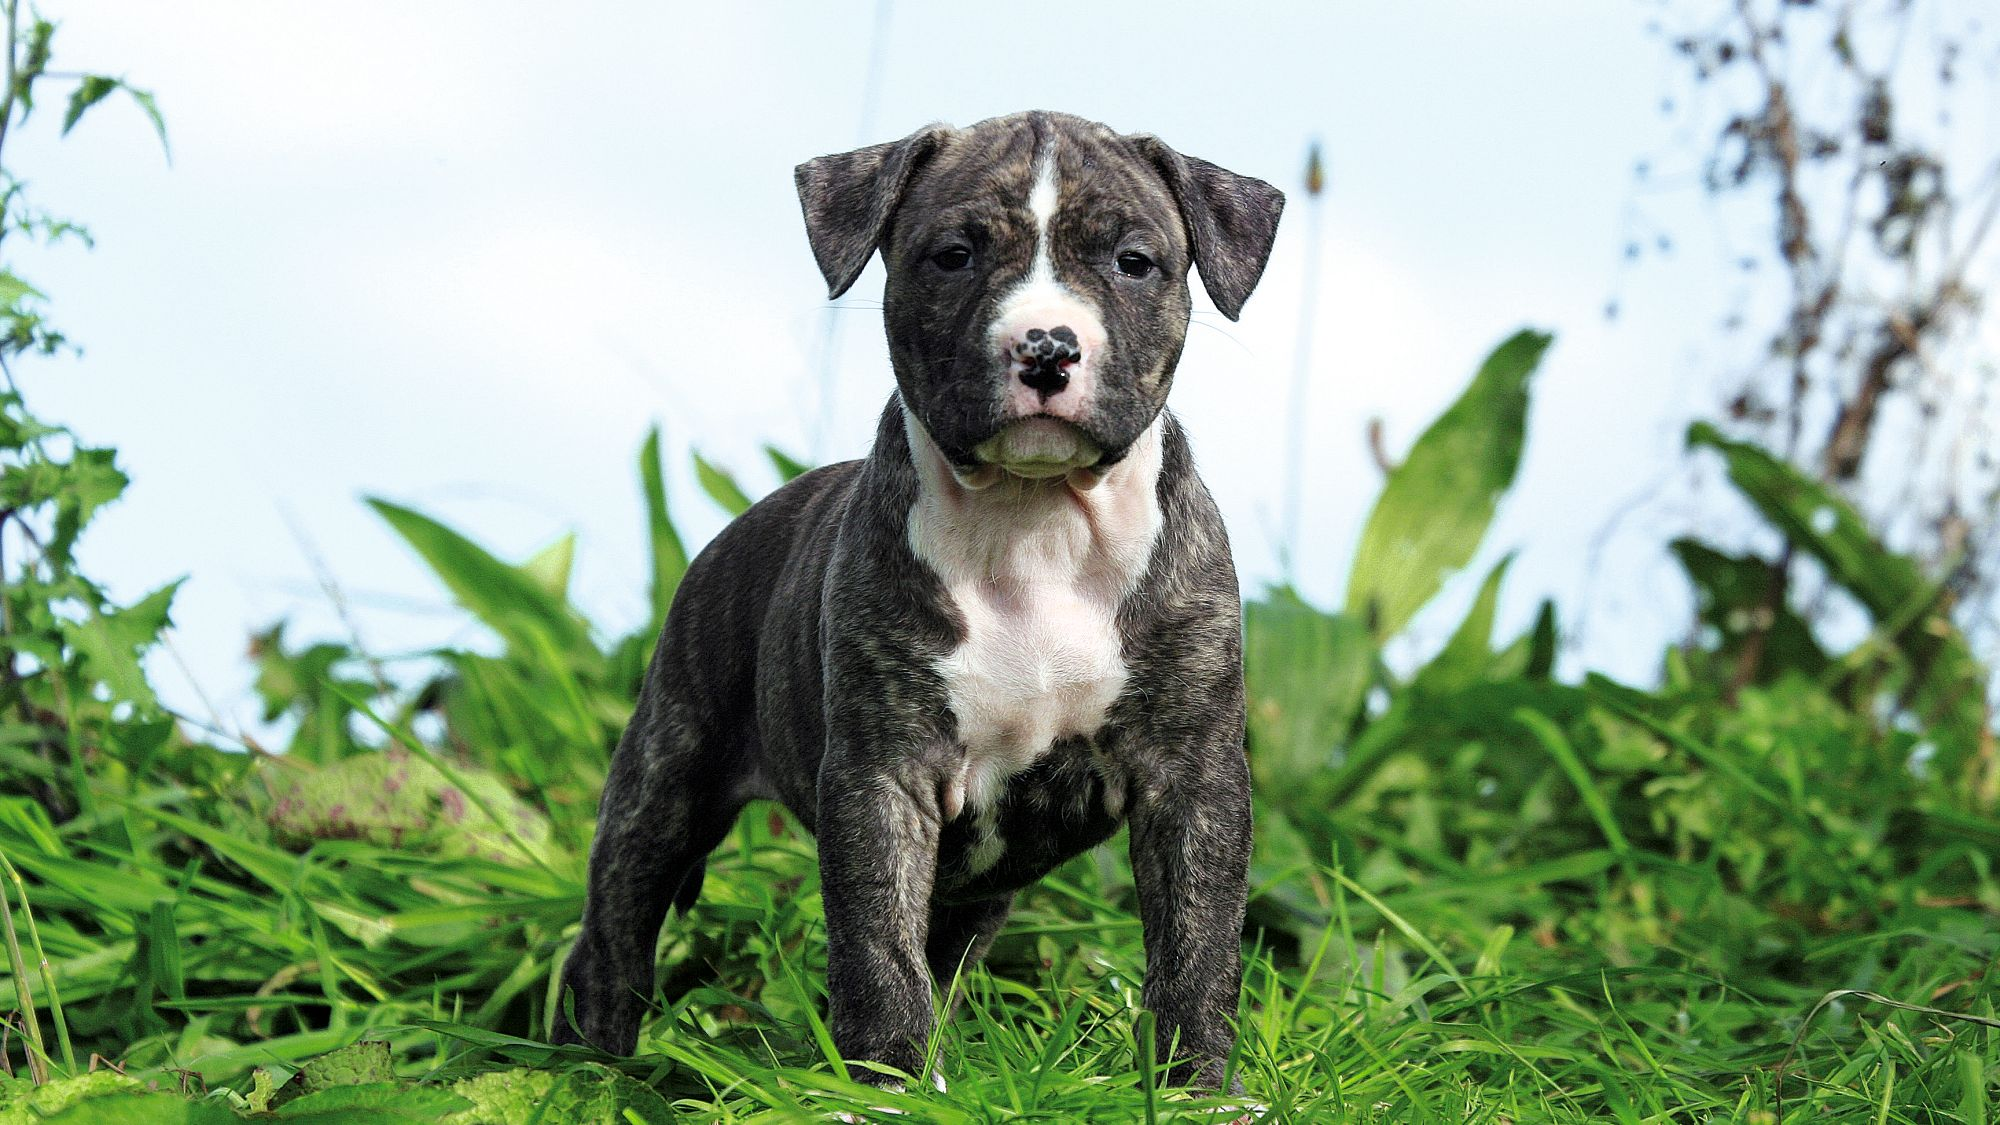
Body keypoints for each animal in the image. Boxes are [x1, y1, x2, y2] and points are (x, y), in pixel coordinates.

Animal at [556, 109, 1288, 1088]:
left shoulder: (1194, 777)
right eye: (954, 255)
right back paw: (588, 1067)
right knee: (616, 927)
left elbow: (1197, 941)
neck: (1034, 523)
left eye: (1133, 261)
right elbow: (875, 939)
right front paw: (888, 1083)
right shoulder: (881, 772)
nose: (1047, 346)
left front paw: (1194, 1085)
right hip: (667, 770)